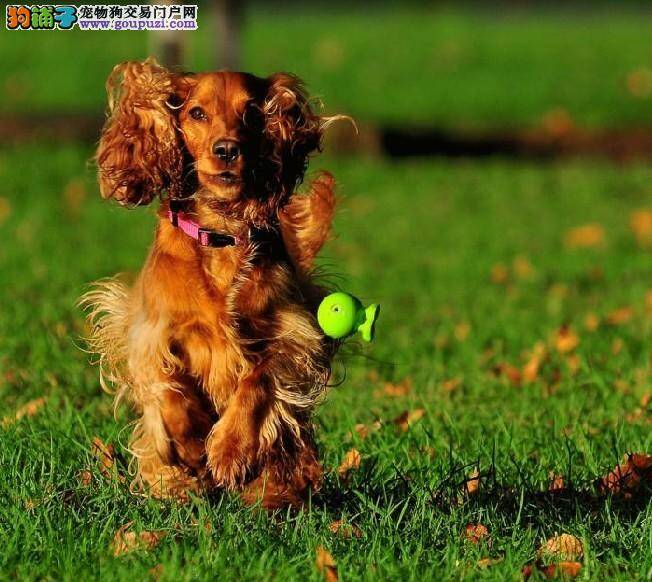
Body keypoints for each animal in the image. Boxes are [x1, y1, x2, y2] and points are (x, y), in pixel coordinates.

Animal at [82, 57, 346, 508]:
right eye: (196, 113)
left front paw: (228, 451)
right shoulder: (152, 334)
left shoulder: (290, 334)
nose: (226, 150)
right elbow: (169, 391)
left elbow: (257, 381)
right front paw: (190, 444)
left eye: (253, 114)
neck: (222, 234)